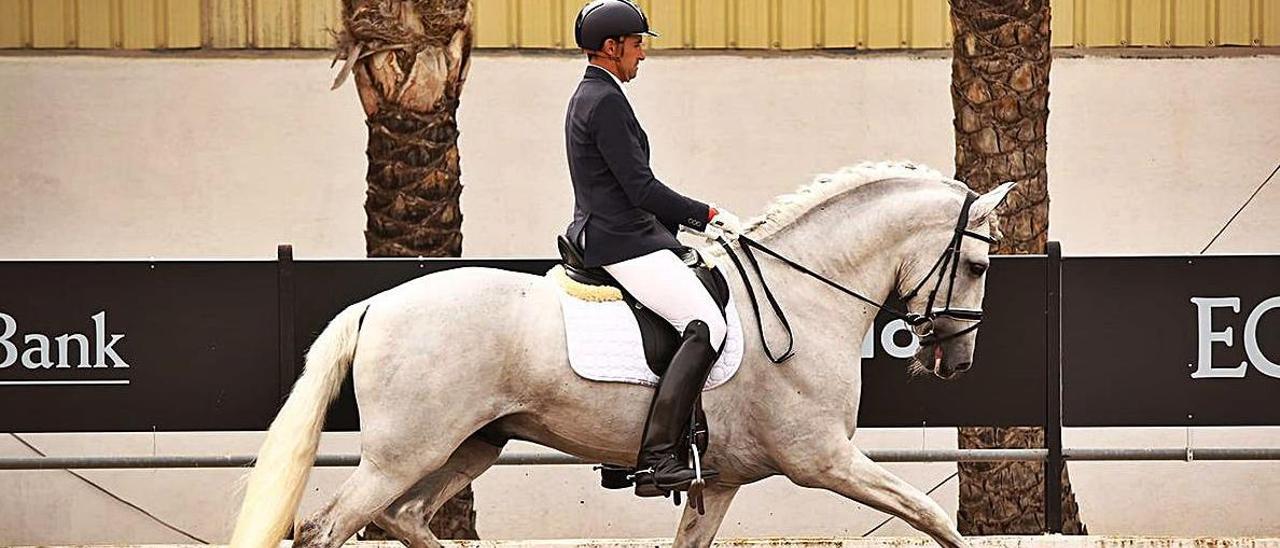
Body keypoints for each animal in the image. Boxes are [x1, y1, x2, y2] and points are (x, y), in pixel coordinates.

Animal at [227, 162, 1008, 548]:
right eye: (975, 265)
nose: (959, 363)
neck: (804, 292)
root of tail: (377, 305)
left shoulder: (721, 480)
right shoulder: (821, 458)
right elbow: (930, 515)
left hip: (472, 444)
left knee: (404, 519)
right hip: (404, 453)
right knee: (326, 529)